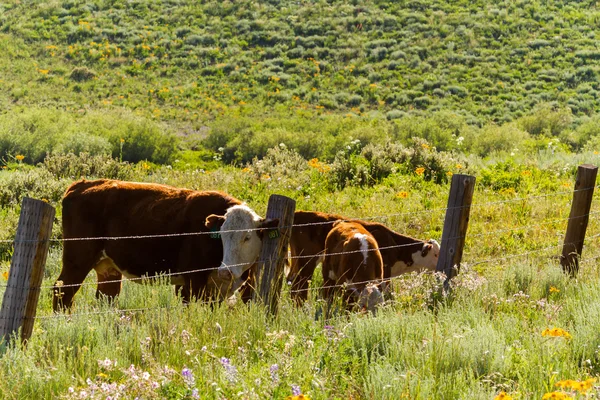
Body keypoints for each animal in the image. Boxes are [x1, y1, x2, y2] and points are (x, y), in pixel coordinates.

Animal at [54, 179, 245, 312]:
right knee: (63, 290)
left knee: (106, 295)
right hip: (77, 261)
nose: (229, 271)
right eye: (223, 236)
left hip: (107, 267)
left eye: (247, 237)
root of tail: (80, 185)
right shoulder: (193, 280)